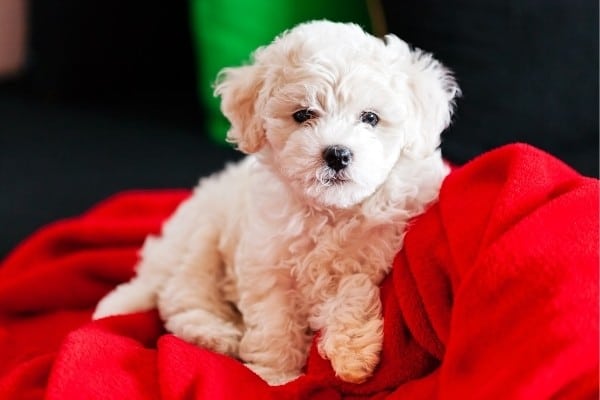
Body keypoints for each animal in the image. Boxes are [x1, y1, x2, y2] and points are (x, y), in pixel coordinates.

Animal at [94, 20, 460, 386]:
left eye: (370, 118)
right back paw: (215, 335)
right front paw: (276, 377)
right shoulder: (267, 265)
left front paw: (353, 354)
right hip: (200, 240)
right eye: (303, 114)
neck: (330, 211)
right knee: (181, 295)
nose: (337, 154)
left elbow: (352, 288)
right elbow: (275, 323)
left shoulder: (376, 251)